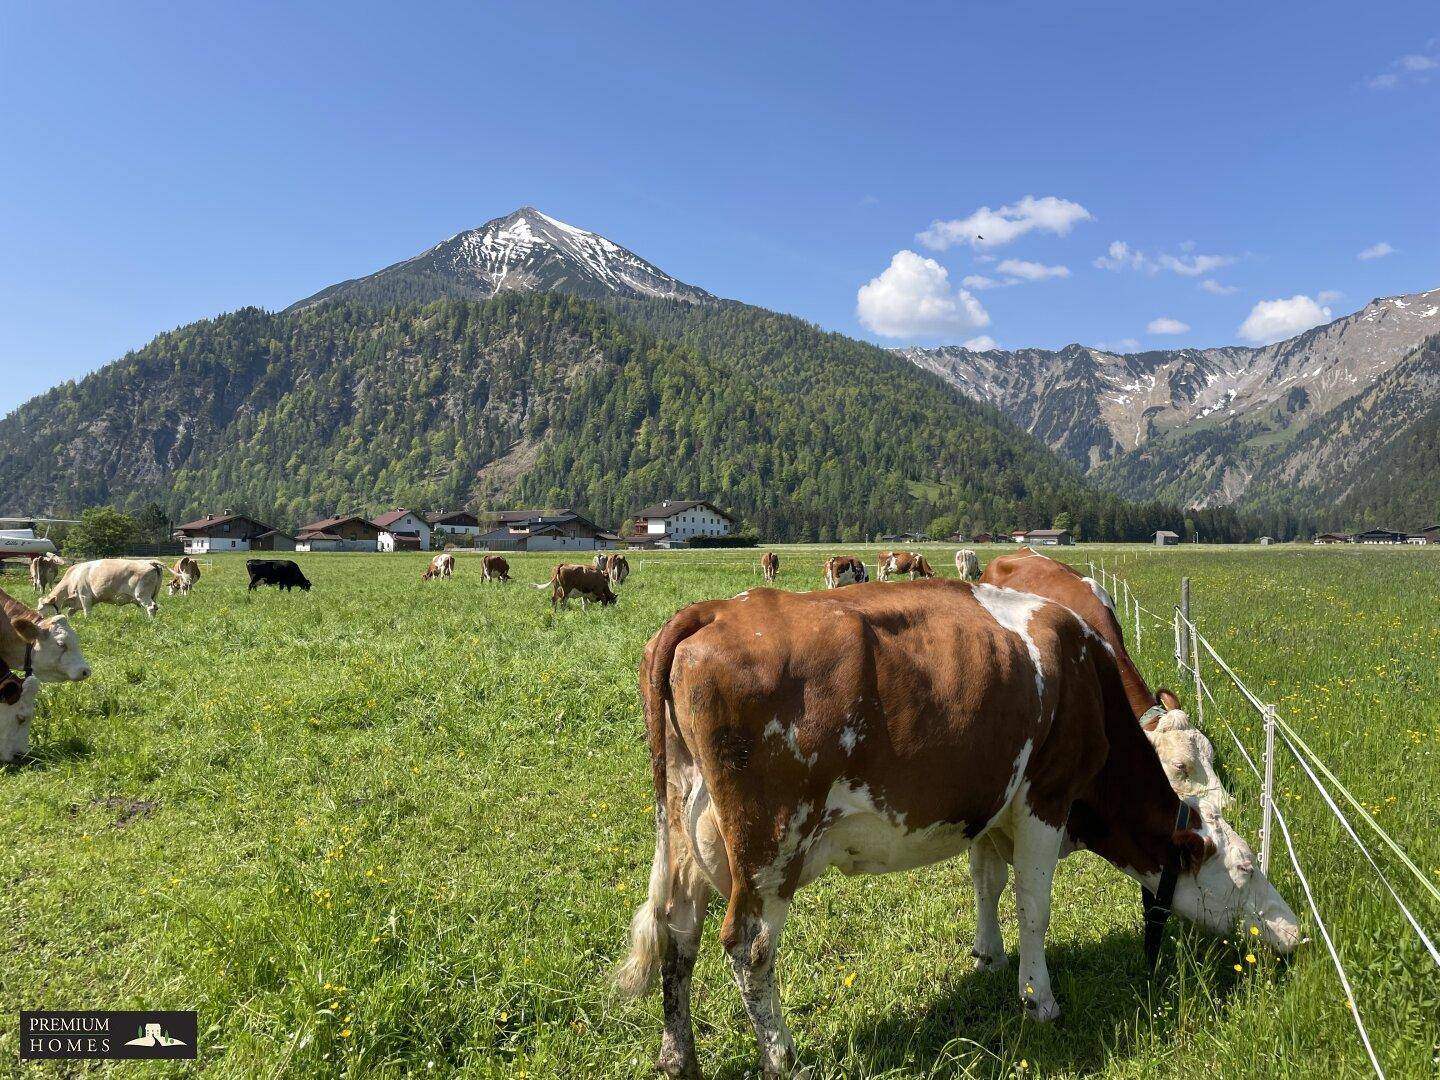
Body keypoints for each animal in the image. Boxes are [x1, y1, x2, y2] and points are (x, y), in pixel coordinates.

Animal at [613, 587, 1301, 1077]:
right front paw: (1039, 999)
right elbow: (1033, 906)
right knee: (748, 945)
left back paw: (678, 1057)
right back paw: (783, 1059)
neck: (1086, 679)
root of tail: (712, 612)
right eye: (1245, 868)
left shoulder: (991, 805)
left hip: (688, 832)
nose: (1294, 932)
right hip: (770, 845)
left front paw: (989, 957)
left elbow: (987, 882)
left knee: (677, 928)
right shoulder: (1045, 797)